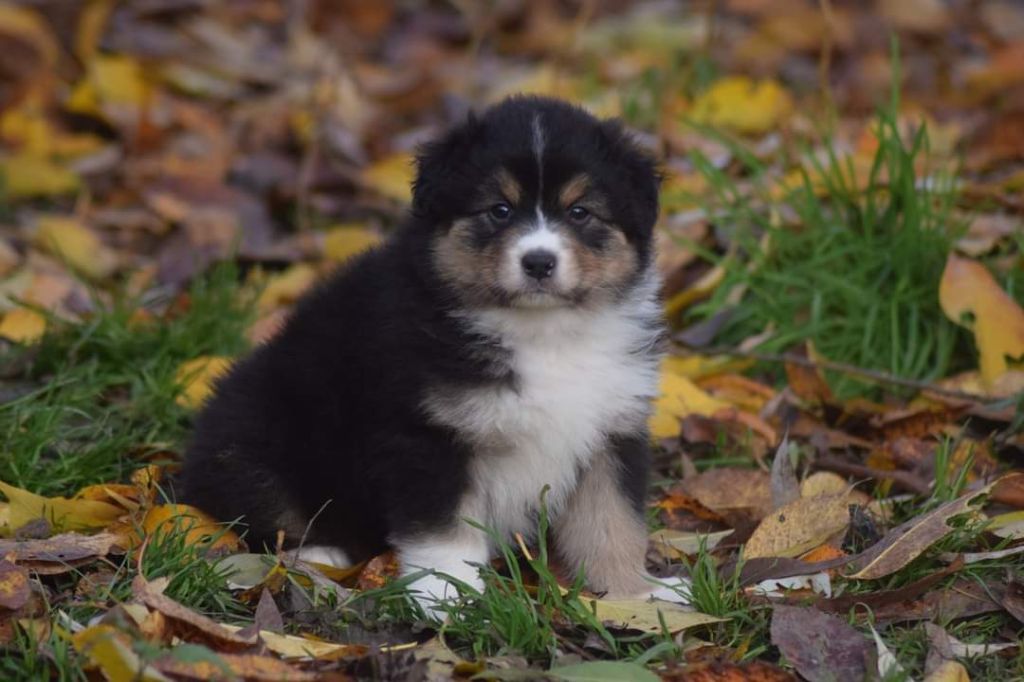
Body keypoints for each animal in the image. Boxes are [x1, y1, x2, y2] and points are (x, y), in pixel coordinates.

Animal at [179, 96, 672, 609]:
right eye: (499, 210)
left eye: (579, 212)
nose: (539, 262)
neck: (542, 332)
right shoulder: (427, 433)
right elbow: (443, 530)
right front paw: (448, 596)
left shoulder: (612, 429)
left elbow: (613, 522)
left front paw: (635, 594)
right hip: (256, 427)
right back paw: (319, 554)